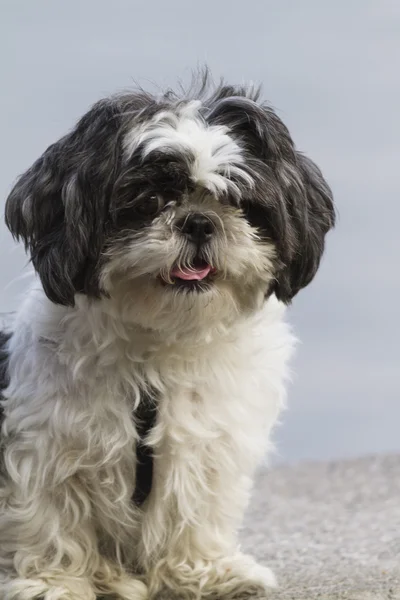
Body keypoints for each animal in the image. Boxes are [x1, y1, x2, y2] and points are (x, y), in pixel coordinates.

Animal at [0, 75, 334, 600]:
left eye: (238, 202)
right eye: (150, 202)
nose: (198, 221)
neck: (159, 345)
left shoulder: (206, 443)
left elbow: (195, 511)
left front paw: (206, 572)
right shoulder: (45, 445)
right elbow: (52, 520)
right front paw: (54, 584)